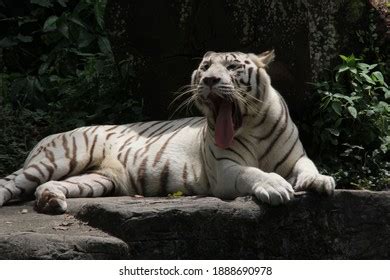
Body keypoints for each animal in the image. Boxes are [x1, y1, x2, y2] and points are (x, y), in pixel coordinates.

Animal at [0, 50, 336, 213]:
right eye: (205, 67)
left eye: (232, 67)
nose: (210, 80)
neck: (251, 124)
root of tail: (47, 136)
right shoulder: (224, 169)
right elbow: (252, 172)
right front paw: (276, 187)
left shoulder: (295, 158)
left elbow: (308, 166)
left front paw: (321, 181)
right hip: (58, 160)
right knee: (11, 182)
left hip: (97, 179)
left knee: (47, 186)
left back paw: (50, 201)